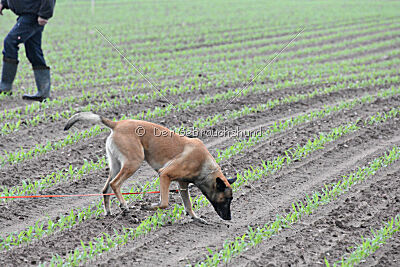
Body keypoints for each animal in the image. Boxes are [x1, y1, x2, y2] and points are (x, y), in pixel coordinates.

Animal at [64, 112, 236, 221]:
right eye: (227, 199)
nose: (229, 218)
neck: (205, 166)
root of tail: (117, 124)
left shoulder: (182, 185)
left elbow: (188, 204)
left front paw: (195, 218)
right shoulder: (164, 174)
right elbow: (164, 203)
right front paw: (148, 206)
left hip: (116, 165)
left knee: (105, 189)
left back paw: (108, 212)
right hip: (133, 162)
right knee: (115, 184)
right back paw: (124, 206)